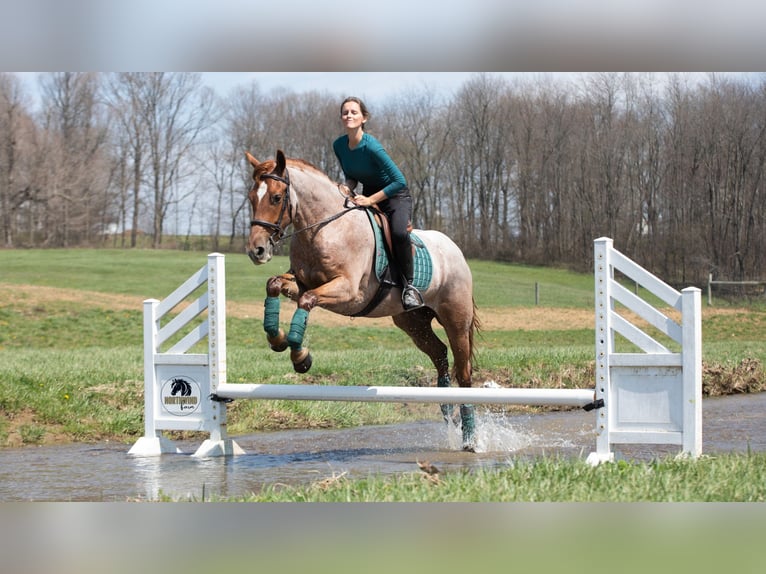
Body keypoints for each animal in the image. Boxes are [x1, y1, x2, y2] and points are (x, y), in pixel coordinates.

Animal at [244, 149, 481, 450]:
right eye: (252, 197)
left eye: (276, 197)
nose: (256, 251)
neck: (323, 228)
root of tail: (455, 250)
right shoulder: (301, 281)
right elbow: (274, 285)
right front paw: (277, 339)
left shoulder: (349, 292)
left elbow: (307, 300)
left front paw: (300, 356)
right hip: (412, 322)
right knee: (439, 355)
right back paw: (448, 416)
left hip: (456, 320)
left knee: (464, 373)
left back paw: (469, 439)